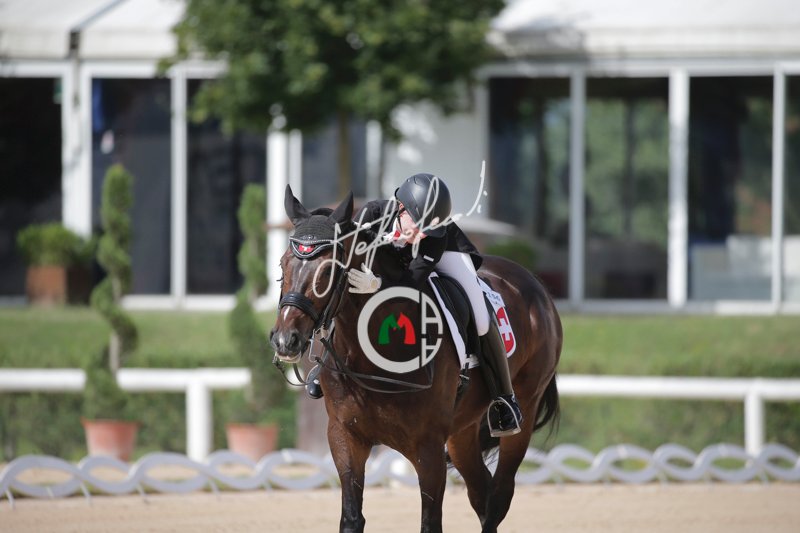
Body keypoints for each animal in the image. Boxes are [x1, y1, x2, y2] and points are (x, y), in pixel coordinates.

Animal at [270, 186, 561, 533]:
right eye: (282, 265)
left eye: (329, 270)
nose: (285, 341)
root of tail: (537, 286)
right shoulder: (345, 438)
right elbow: (352, 518)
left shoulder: (428, 449)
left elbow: (430, 523)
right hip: (462, 431)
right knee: (481, 491)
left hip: (524, 411)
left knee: (499, 495)